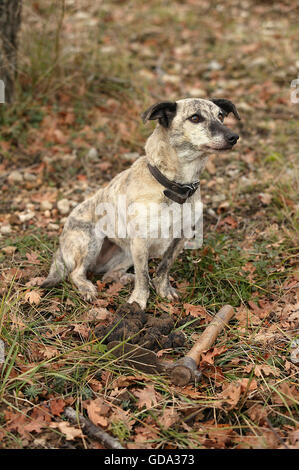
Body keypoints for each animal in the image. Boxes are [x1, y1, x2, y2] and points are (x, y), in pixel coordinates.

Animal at [42, 97, 240, 308]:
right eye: (195, 118)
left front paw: (163, 290)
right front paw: (138, 302)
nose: (234, 137)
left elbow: (164, 267)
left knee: (109, 275)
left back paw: (126, 279)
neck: (174, 185)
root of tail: (61, 243)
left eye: (221, 116)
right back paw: (88, 288)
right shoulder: (140, 240)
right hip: (91, 240)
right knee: (76, 273)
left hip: (125, 252)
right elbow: (144, 275)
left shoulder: (179, 238)